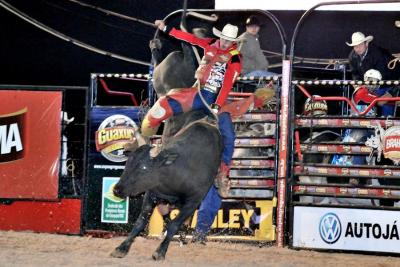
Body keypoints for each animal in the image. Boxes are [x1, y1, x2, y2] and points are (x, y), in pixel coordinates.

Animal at [111, 110, 222, 260]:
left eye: (144, 168)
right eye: (128, 163)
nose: (117, 190)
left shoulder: (193, 201)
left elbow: (174, 224)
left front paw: (160, 251)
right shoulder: (152, 194)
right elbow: (141, 222)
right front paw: (122, 247)